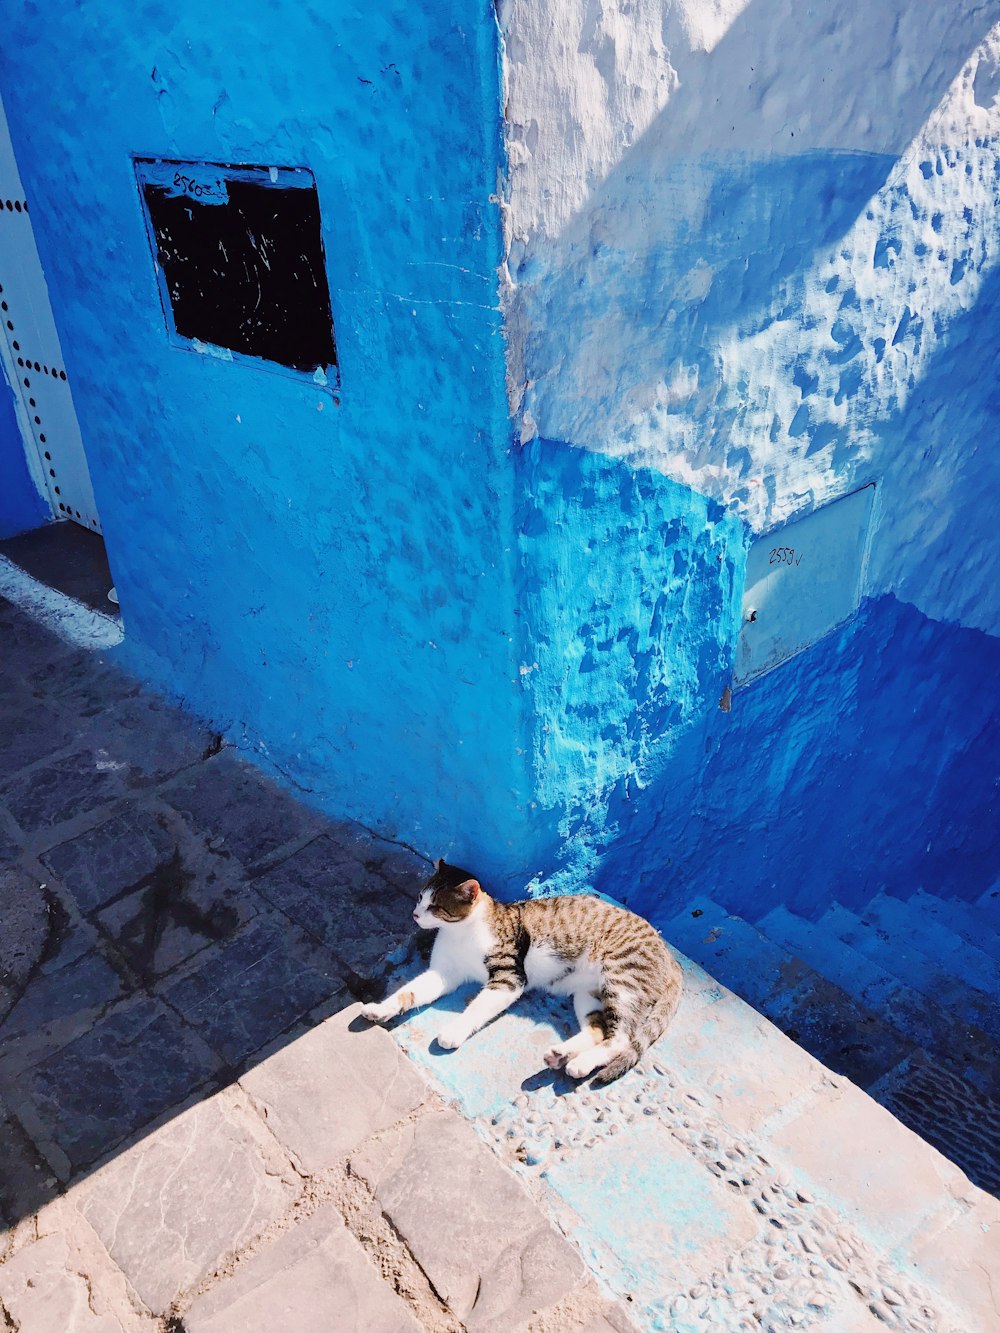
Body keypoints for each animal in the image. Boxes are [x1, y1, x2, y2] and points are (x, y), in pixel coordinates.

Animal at [360, 853, 682, 1082]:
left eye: (435, 907)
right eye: (419, 898)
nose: (415, 915)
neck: (461, 932)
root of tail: (669, 952)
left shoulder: (508, 978)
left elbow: (477, 1008)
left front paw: (454, 1031)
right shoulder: (444, 972)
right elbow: (410, 992)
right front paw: (383, 1008)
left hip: (622, 980)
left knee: (623, 1037)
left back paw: (581, 1062)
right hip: (589, 994)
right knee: (601, 1030)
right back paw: (562, 1055)